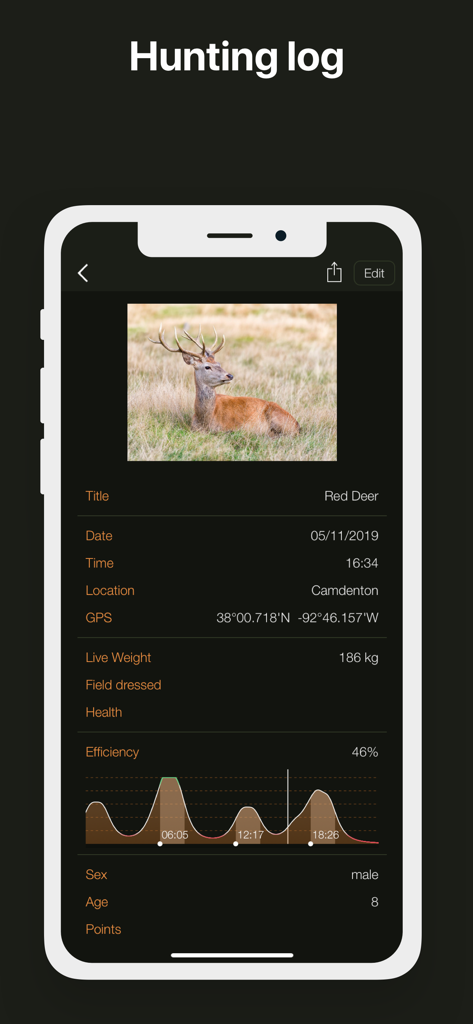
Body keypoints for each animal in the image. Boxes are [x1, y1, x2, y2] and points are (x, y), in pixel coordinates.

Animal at [148, 326, 300, 436]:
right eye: (207, 366)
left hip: (278, 418)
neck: (206, 420)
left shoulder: (229, 428)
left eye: (219, 363)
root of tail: (297, 423)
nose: (230, 375)